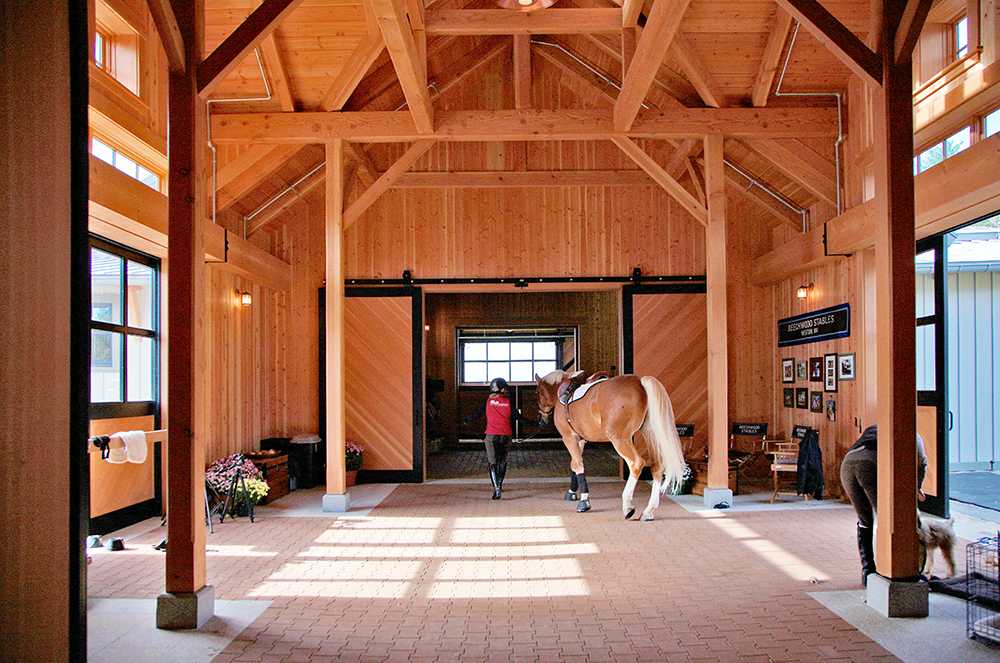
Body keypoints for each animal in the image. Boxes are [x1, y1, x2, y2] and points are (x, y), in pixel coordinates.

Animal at [532, 370, 688, 520]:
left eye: (537, 393)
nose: (541, 419)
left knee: (636, 463)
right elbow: (574, 464)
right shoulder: (580, 440)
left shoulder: (569, 438)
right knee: (657, 466)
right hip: (650, 434)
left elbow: (577, 465)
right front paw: (571, 491)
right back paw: (648, 511)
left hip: (619, 439)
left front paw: (584, 501)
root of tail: (640, 381)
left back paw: (627, 506)